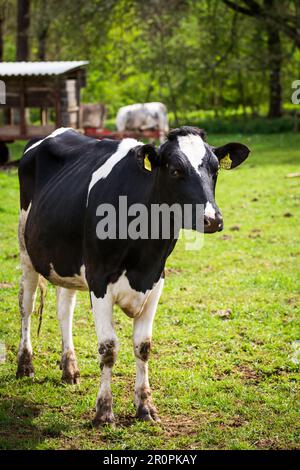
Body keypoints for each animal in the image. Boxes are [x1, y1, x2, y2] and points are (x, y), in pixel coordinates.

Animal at [17, 126, 250, 424]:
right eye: (175, 169)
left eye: (215, 169)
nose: (213, 219)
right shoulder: (99, 281)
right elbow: (108, 348)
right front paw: (104, 411)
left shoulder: (156, 281)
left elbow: (143, 346)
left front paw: (145, 407)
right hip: (26, 252)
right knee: (27, 305)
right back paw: (25, 365)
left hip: (65, 258)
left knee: (64, 310)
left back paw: (69, 369)